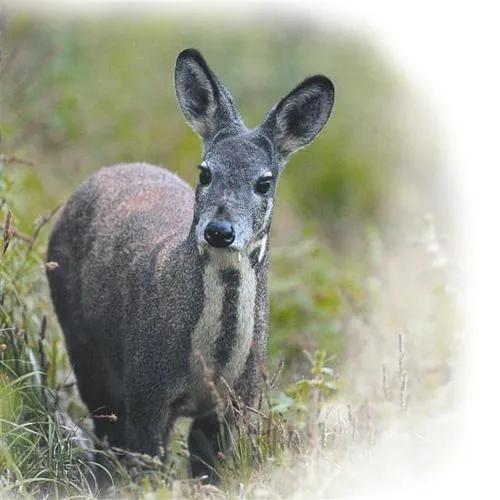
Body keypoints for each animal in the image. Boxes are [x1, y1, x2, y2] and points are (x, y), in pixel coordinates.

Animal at [47, 47, 334, 480]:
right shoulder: (146, 387)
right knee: (104, 429)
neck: (210, 364)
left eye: (264, 182)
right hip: (83, 343)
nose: (219, 230)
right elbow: (146, 466)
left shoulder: (238, 401)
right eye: (205, 172)